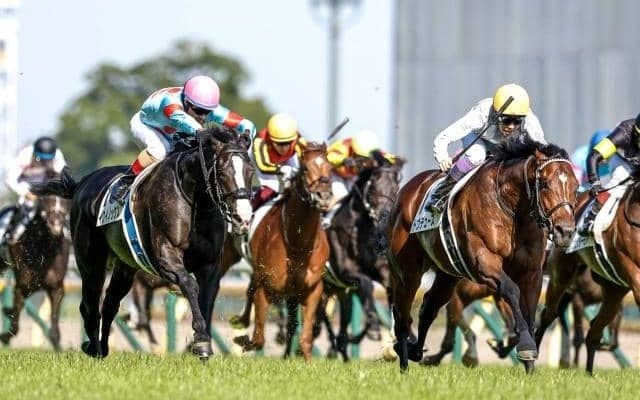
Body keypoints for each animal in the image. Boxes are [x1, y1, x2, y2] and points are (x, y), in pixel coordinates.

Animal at [0, 192, 71, 349]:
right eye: (46, 210)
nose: (56, 226)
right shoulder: (22, 287)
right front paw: (5, 337)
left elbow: (54, 323)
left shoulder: (55, 287)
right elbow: (15, 324)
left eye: (64, 211)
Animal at [32, 127, 254, 360]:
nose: (243, 218)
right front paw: (201, 341)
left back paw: (103, 347)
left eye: (250, 171)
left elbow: (207, 299)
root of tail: (81, 184)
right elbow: (189, 285)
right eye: (222, 173)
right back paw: (94, 349)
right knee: (89, 306)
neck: (194, 200)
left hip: (125, 267)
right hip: (91, 263)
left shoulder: (209, 265)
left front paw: (204, 342)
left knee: (110, 304)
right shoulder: (165, 257)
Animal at [222, 142, 333, 360]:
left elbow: (305, 339)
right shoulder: (266, 287)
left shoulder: (312, 289)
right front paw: (243, 340)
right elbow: (258, 338)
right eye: (305, 169)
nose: (324, 196)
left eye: (330, 168)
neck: (298, 244)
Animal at [386, 135, 578, 373]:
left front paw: (530, 364)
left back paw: (416, 351)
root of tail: (407, 190)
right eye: (545, 184)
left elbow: (529, 310)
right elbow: (512, 291)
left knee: (429, 307)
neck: (514, 210)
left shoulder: (532, 273)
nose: (565, 231)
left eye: (576, 187)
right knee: (402, 314)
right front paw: (525, 346)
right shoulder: (485, 263)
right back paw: (403, 359)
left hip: (448, 276)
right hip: (408, 272)